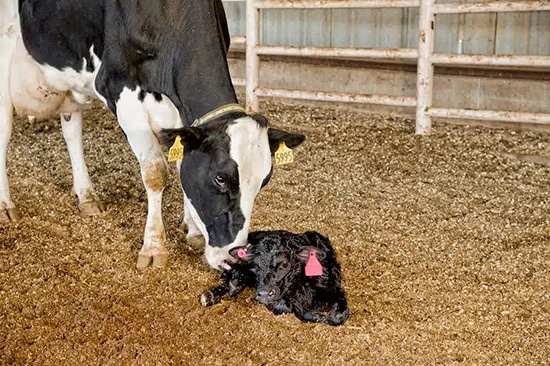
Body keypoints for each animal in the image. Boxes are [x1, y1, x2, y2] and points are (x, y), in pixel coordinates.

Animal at [0, 0, 306, 268]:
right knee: (4, 134)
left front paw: (193, 229)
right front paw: (154, 248)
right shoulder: (121, 91)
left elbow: (182, 163)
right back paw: (5, 206)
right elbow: (156, 172)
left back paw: (87, 196)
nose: (235, 258)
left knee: (71, 128)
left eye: (264, 181)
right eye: (220, 178)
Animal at [201, 230, 352, 328]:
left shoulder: (335, 290)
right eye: (255, 265)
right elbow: (289, 309)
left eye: (285, 264)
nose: (263, 293)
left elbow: (337, 317)